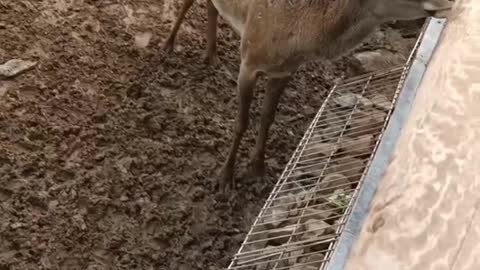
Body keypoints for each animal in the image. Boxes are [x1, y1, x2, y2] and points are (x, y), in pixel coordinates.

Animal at [163, 0, 452, 192]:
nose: (449, 4)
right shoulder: (249, 59)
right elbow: (241, 123)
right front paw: (225, 178)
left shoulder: (284, 71)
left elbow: (267, 119)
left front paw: (257, 172)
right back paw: (169, 45)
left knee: (211, 6)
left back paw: (211, 55)